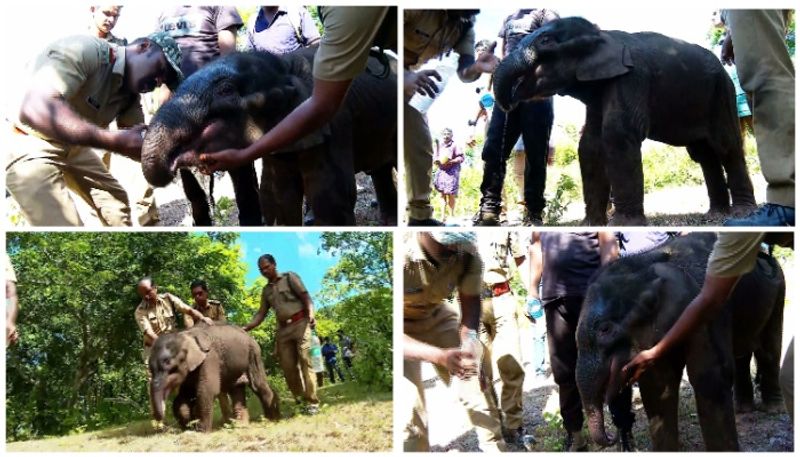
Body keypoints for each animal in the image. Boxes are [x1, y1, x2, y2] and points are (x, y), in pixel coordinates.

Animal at [142, 48, 398, 226]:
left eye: (226, 90)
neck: (284, 64)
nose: (175, 165)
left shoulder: (334, 123)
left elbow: (330, 198)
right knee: (380, 169)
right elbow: (277, 196)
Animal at [148, 320, 280, 432]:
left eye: (171, 368)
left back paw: (272, 420)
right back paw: (240, 426)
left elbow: (207, 390)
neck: (185, 334)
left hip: (253, 354)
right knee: (237, 389)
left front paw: (201, 431)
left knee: (258, 385)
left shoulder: (210, 358)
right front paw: (189, 428)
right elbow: (183, 396)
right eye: (150, 368)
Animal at [494, 17, 756, 224]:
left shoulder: (632, 77)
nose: (509, 105)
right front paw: (592, 225)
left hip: (722, 94)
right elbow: (590, 144)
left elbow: (617, 134)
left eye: (546, 41)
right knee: (704, 154)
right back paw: (716, 215)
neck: (603, 35)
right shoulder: (599, 90)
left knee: (726, 146)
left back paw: (742, 213)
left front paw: (623, 223)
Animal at [576, 232, 788, 448]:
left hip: (780, 291)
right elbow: (658, 385)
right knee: (742, 355)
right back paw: (743, 410)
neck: (649, 261)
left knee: (769, 349)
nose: (612, 437)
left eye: (605, 329)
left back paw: (774, 408)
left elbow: (710, 377)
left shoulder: (708, 310)